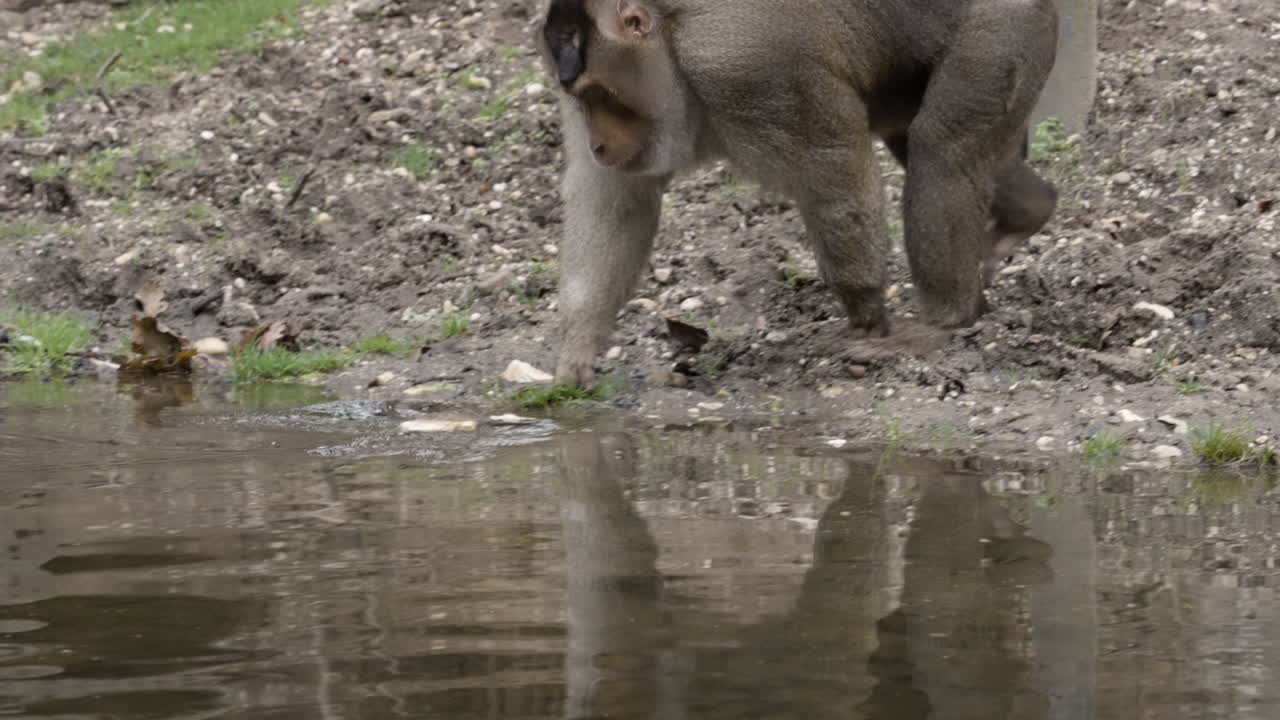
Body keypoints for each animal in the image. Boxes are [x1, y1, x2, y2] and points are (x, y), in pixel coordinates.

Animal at [538, 0, 1060, 386]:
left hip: (1002, 28)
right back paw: (1032, 210)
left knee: (940, 149)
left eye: (599, 94)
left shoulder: (746, 67)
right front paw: (576, 355)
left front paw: (865, 312)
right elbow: (618, 205)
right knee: (920, 140)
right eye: (579, 100)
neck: (673, 41)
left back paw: (945, 321)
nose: (597, 144)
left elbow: (834, 171)